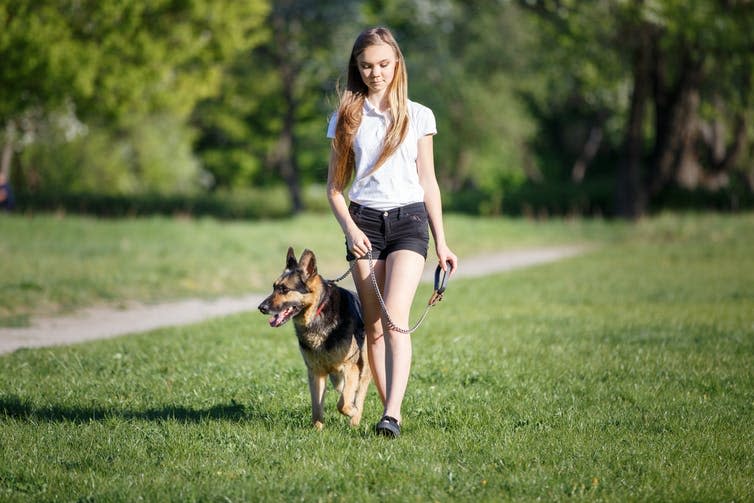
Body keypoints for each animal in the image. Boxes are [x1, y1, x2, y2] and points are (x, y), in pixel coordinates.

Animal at [258, 248, 370, 430]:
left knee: (358, 393)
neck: (318, 311)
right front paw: (317, 430)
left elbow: (343, 404)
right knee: (343, 389)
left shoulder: (350, 368)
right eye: (274, 287)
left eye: (284, 289)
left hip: (363, 369)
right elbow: (317, 407)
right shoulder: (316, 373)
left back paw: (355, 419)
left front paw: (352, 411)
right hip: (336, 378)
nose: (261, 308)